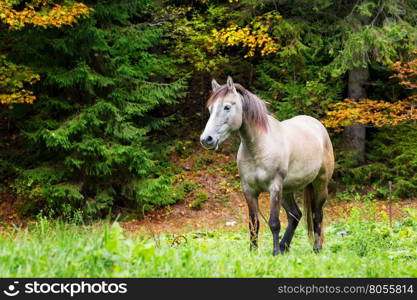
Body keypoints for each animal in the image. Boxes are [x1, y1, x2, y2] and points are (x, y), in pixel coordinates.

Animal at [200, 76, 334, 254]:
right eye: (210, 109)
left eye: (227, 107)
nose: (206, 139)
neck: (259, 147)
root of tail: (317, 126)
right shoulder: (249, 191)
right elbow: (254, 223)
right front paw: (253, 251)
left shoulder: (274, 188)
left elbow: (274, 223)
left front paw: (275, 252)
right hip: (287, 190)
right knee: (295, 215)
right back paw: (285, 247)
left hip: (320, 184)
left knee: (317, 215)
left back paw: (316, 248)